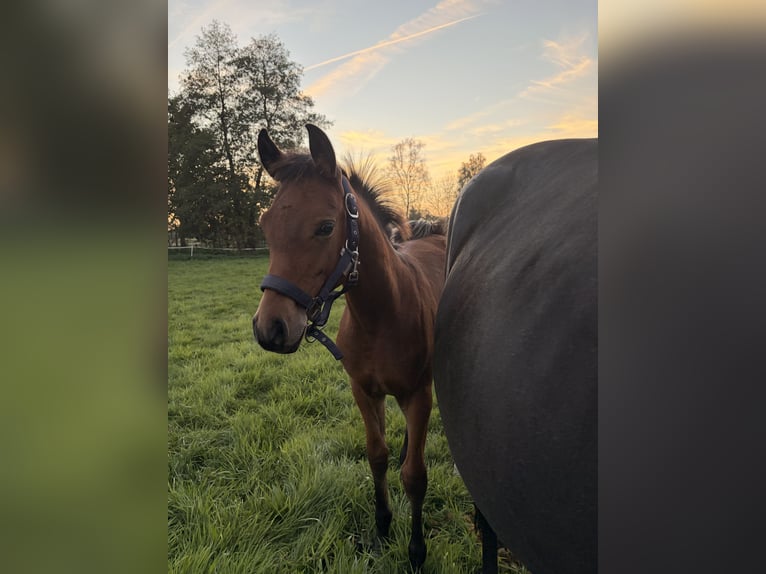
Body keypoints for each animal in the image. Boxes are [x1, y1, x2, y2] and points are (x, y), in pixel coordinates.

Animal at [252, 124, 446, 570]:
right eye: (266, 225)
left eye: (326, 227)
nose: (271, 328)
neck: (381, 317)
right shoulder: (364, 391)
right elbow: (377, 456)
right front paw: (381, 529)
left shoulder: (418, 393)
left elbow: (415, 476)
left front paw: (416, 552)